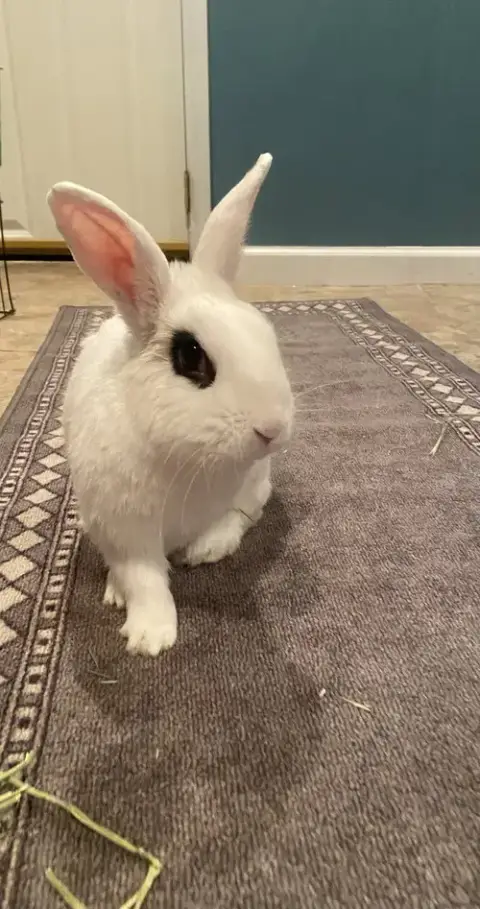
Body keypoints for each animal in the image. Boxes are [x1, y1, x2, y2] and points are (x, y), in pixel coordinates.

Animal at [47, 153, 294, 657]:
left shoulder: (249, 493)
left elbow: (235, 522)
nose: (273, 429)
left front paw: (206, 551)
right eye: (191, 356)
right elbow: (145, 580)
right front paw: (151, 638)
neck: (191, 458)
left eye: (265, 332)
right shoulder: (126, 530)